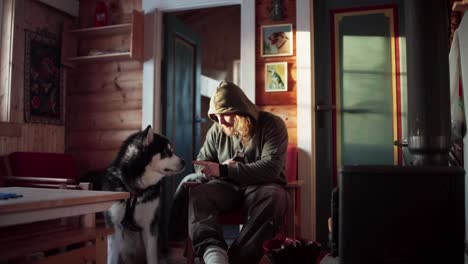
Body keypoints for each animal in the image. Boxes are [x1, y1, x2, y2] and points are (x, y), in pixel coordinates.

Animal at [103, 126, 186, 264]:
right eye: (166, 151)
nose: (184, 162)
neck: (135, 191)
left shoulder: (150, 225)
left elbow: (151, 256)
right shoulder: (114, 226)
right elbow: (111, 258)